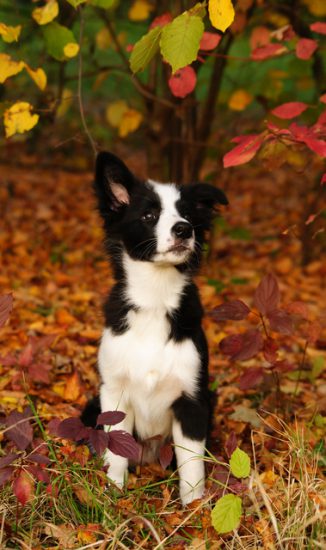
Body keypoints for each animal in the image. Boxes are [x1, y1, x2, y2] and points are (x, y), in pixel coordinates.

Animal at [86, 153, 227, 506]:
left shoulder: (193, 400)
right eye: (149, 215)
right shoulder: (114, 393)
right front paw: (113, 494)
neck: (154, 298)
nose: (184, 230)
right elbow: (116, 450)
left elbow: (192, 467)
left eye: (188, 214)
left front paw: (194, 510)